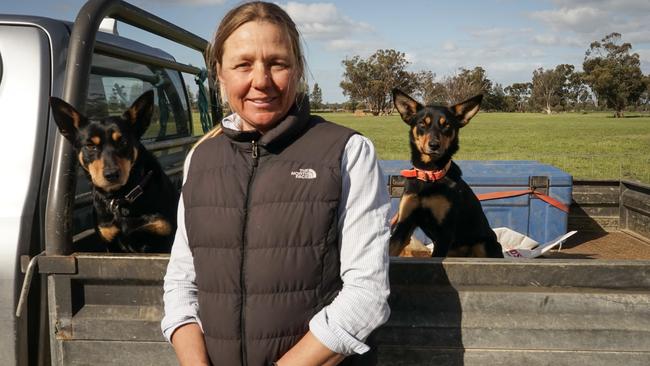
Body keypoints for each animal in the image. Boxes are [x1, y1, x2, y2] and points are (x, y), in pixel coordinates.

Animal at [50, 90, 177, 253]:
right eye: (90, 146)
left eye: (123, 142)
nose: (111, 175)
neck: (120, 198)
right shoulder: (110, 242)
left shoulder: (163, 236)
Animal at [390, 88, 502, 258]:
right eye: (422, 123)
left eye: (446, 125)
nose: (434, 145)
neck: (429, 175)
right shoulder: (404, 223)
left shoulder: (445, 232)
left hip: (483, 244)